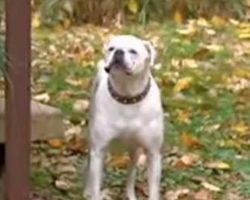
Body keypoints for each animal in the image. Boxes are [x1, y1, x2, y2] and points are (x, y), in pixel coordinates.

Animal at [84, 35, 164, 199]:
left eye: (133, 51)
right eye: (111, 48)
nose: (119, 52)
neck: (127, 96)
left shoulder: (153, 153)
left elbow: (153, 190)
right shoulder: (99, 150)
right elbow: (96, 188)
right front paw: (92, 192)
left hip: (135, 150)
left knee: (131, 173)